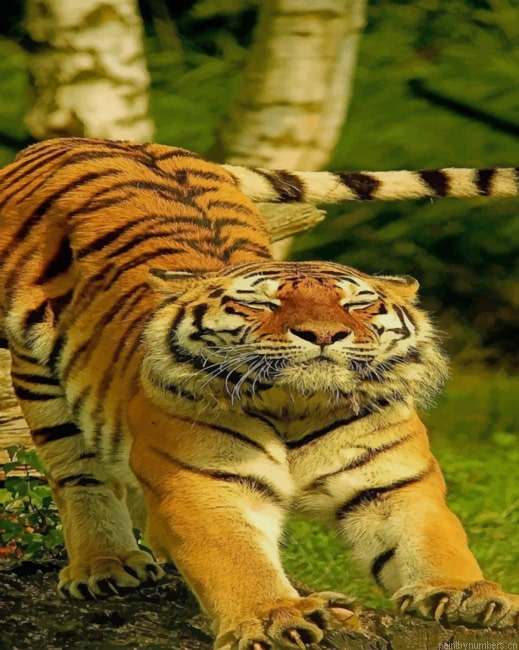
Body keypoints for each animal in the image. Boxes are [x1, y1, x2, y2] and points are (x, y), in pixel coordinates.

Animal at [0, 137, 517, 650]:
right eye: (261, 304)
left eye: (357, 304)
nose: (323, 333)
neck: (297, 405)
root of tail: (90, 139)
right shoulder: (204, 483)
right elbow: (236, 559)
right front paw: (273, 616)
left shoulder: (394, 485)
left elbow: (434, 542)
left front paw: (466, 592)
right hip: (37, 373)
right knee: (76, 473)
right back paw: (104, 564)